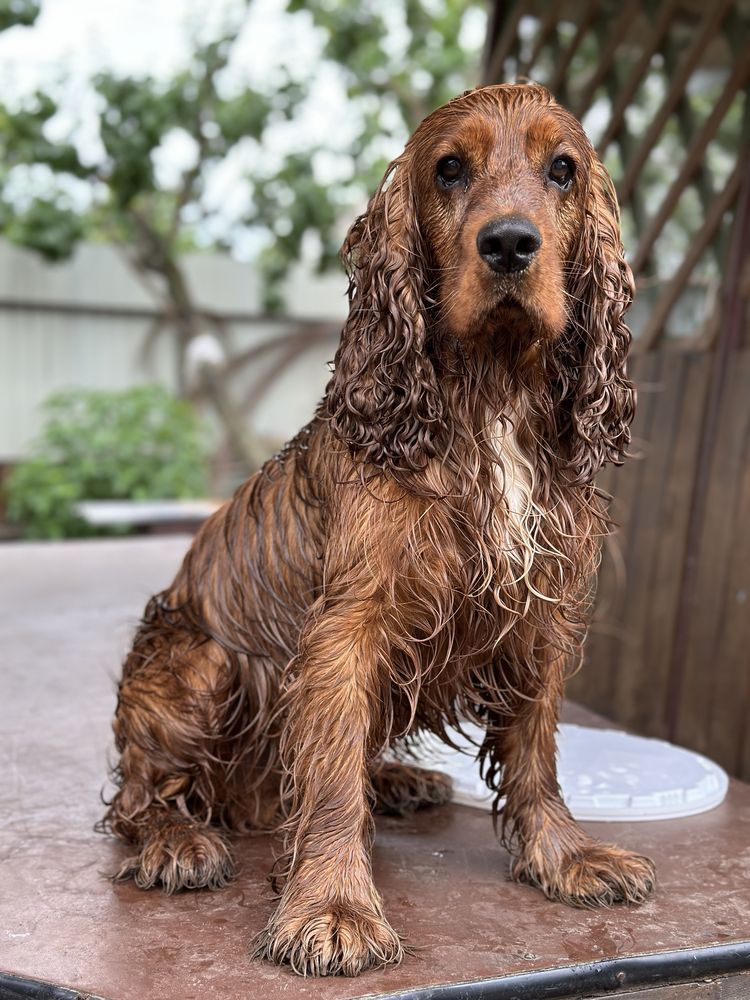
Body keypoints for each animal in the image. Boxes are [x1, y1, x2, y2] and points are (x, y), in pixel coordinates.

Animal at [103, 84, 656, 976]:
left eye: (563, 169)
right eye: (450, 169)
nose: (510, 243)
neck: (490, 397)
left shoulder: (540, 613)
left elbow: (536, 749)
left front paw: (565, 856)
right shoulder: (347, 626)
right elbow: (329, 775)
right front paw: (331, 906)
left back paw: (396, 781)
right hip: (193, 660)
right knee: (140, 791)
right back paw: (174, 839)